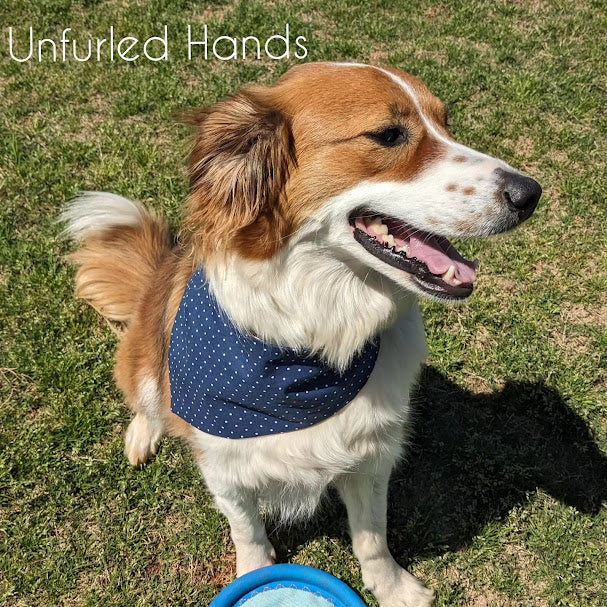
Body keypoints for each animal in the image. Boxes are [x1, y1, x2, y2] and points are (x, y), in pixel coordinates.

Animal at [61, 63, 544, 607]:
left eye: (446, 124)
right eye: (388, 135)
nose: (529, 194)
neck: (313, 338)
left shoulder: (371, 456)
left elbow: (372, 535)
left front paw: (391, 587)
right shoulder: (224, 465)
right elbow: (246, 530)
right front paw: (254, 572)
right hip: (147, 359)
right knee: (146, 397)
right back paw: (144, 433)